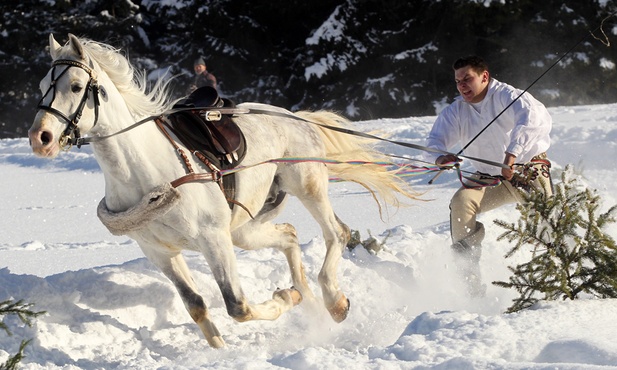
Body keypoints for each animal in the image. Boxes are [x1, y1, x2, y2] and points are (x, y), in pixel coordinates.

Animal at [27, 34, 414, 346]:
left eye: (76, 86)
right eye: (43, 84)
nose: (39, 138)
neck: (143, 173)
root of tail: (292, 114)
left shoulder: (213, 239)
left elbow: (237, 306)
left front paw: (284, 300)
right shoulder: (160, 252)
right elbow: (196, 307)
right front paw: (224, 348)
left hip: (306, 186)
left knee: (338, 233)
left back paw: (333, 302)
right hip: (245, 228)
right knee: (289, 236)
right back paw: (310, 302)